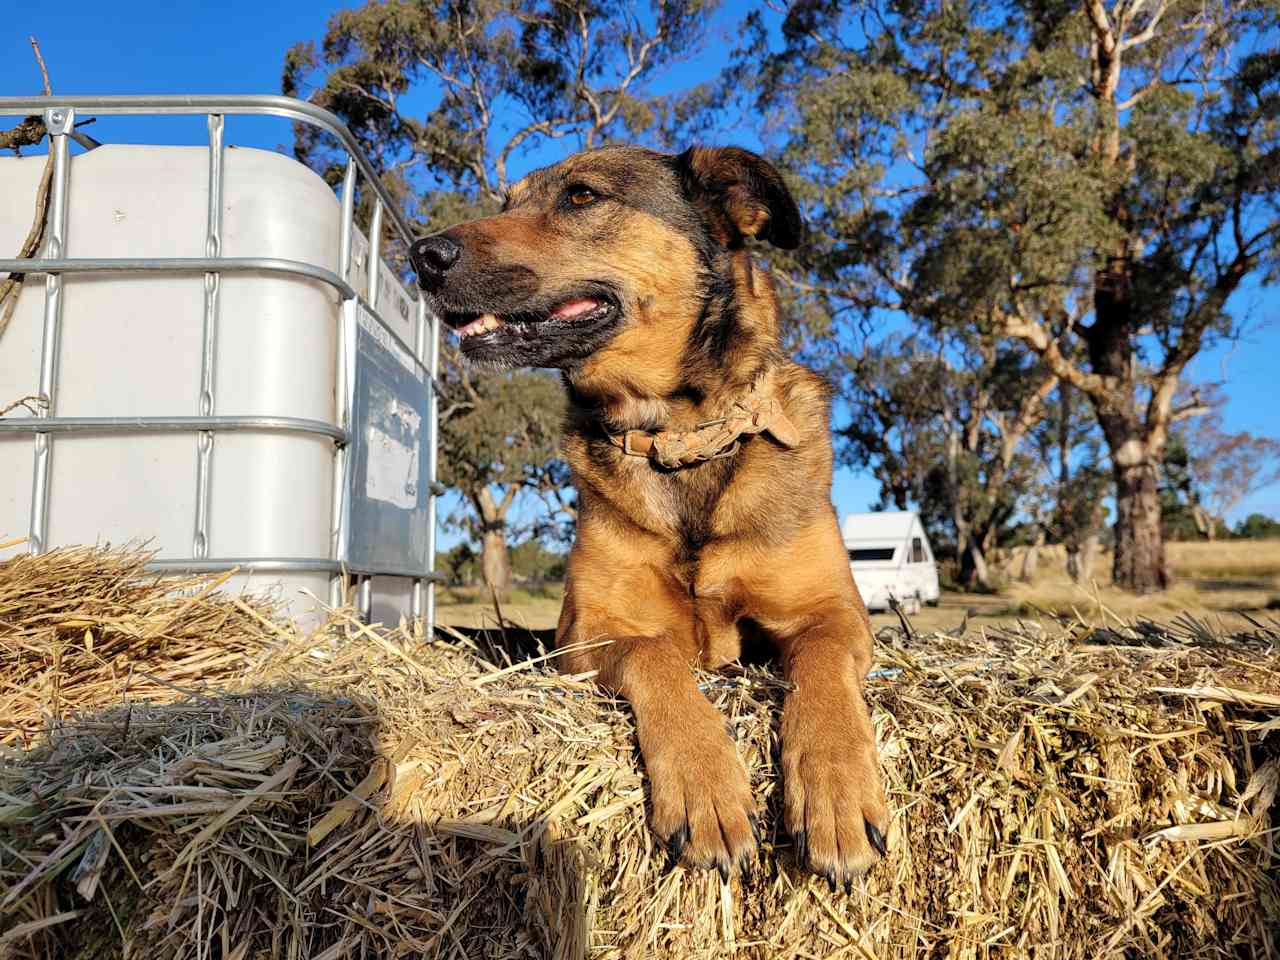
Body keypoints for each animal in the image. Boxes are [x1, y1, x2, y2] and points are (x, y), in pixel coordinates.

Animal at [409, 146, 890, 890]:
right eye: (507, 201)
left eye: (581, 196)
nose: (420, 255)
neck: (679, 441)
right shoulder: (585, 634)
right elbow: (654, 651)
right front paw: (705, 785)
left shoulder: (832, 612)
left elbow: (821, 662)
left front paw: (837, 788)